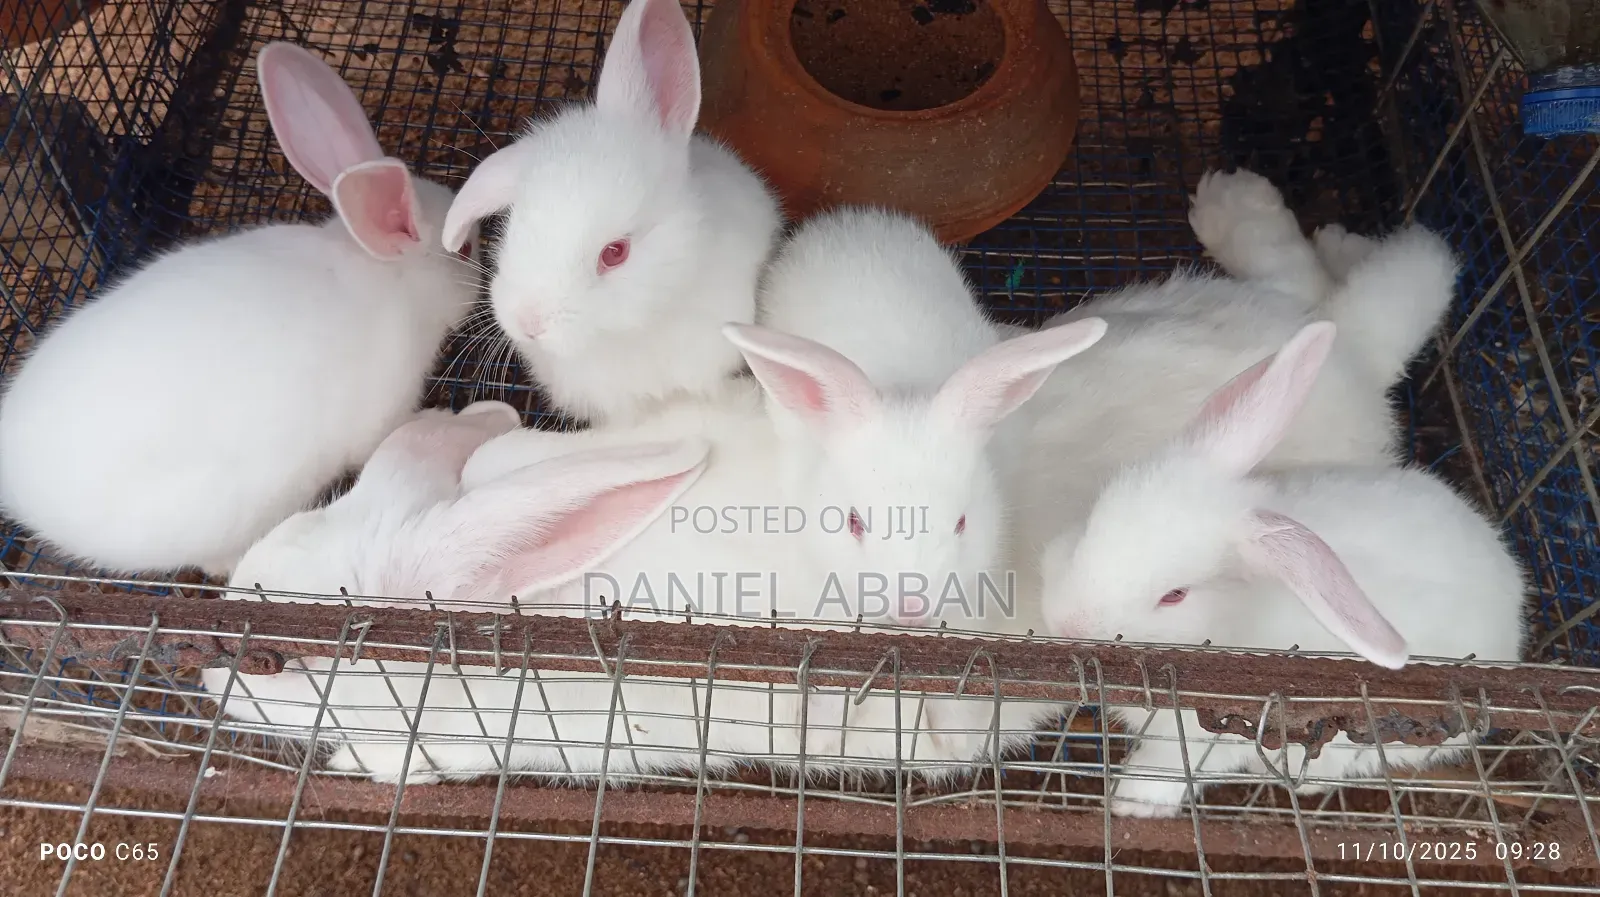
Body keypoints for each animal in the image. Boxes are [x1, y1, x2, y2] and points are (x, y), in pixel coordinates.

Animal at [1037, 322, 1529, 817]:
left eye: (1174, 595)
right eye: (1092, 521)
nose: (1067, 625)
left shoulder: (1216, 733)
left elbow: (1168, 766)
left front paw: (1131, 804)